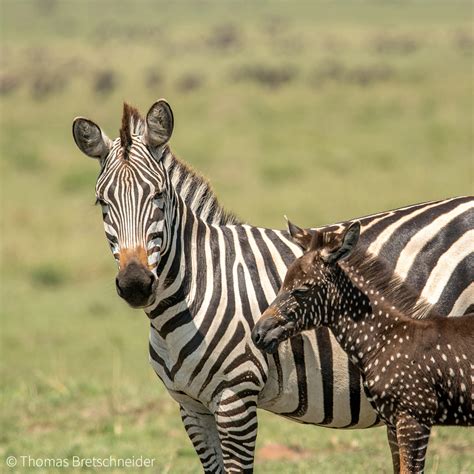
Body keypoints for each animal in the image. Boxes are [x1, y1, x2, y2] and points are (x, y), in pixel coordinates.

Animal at [254, 222, 472, 474]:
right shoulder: (393, 421)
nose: (257, 334)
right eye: (281, 285)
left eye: (301, 290)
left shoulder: (415, 418)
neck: (386, 338)